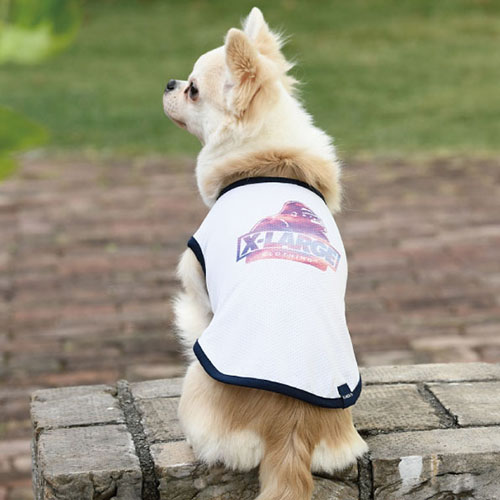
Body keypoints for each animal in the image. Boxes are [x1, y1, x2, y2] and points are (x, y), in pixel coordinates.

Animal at [163, 7, 367, 500]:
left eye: (193, 89)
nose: (169, 82)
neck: (268, 158)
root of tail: (289, 432)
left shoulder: (198, 277)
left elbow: (198, 311)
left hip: (197, 381)